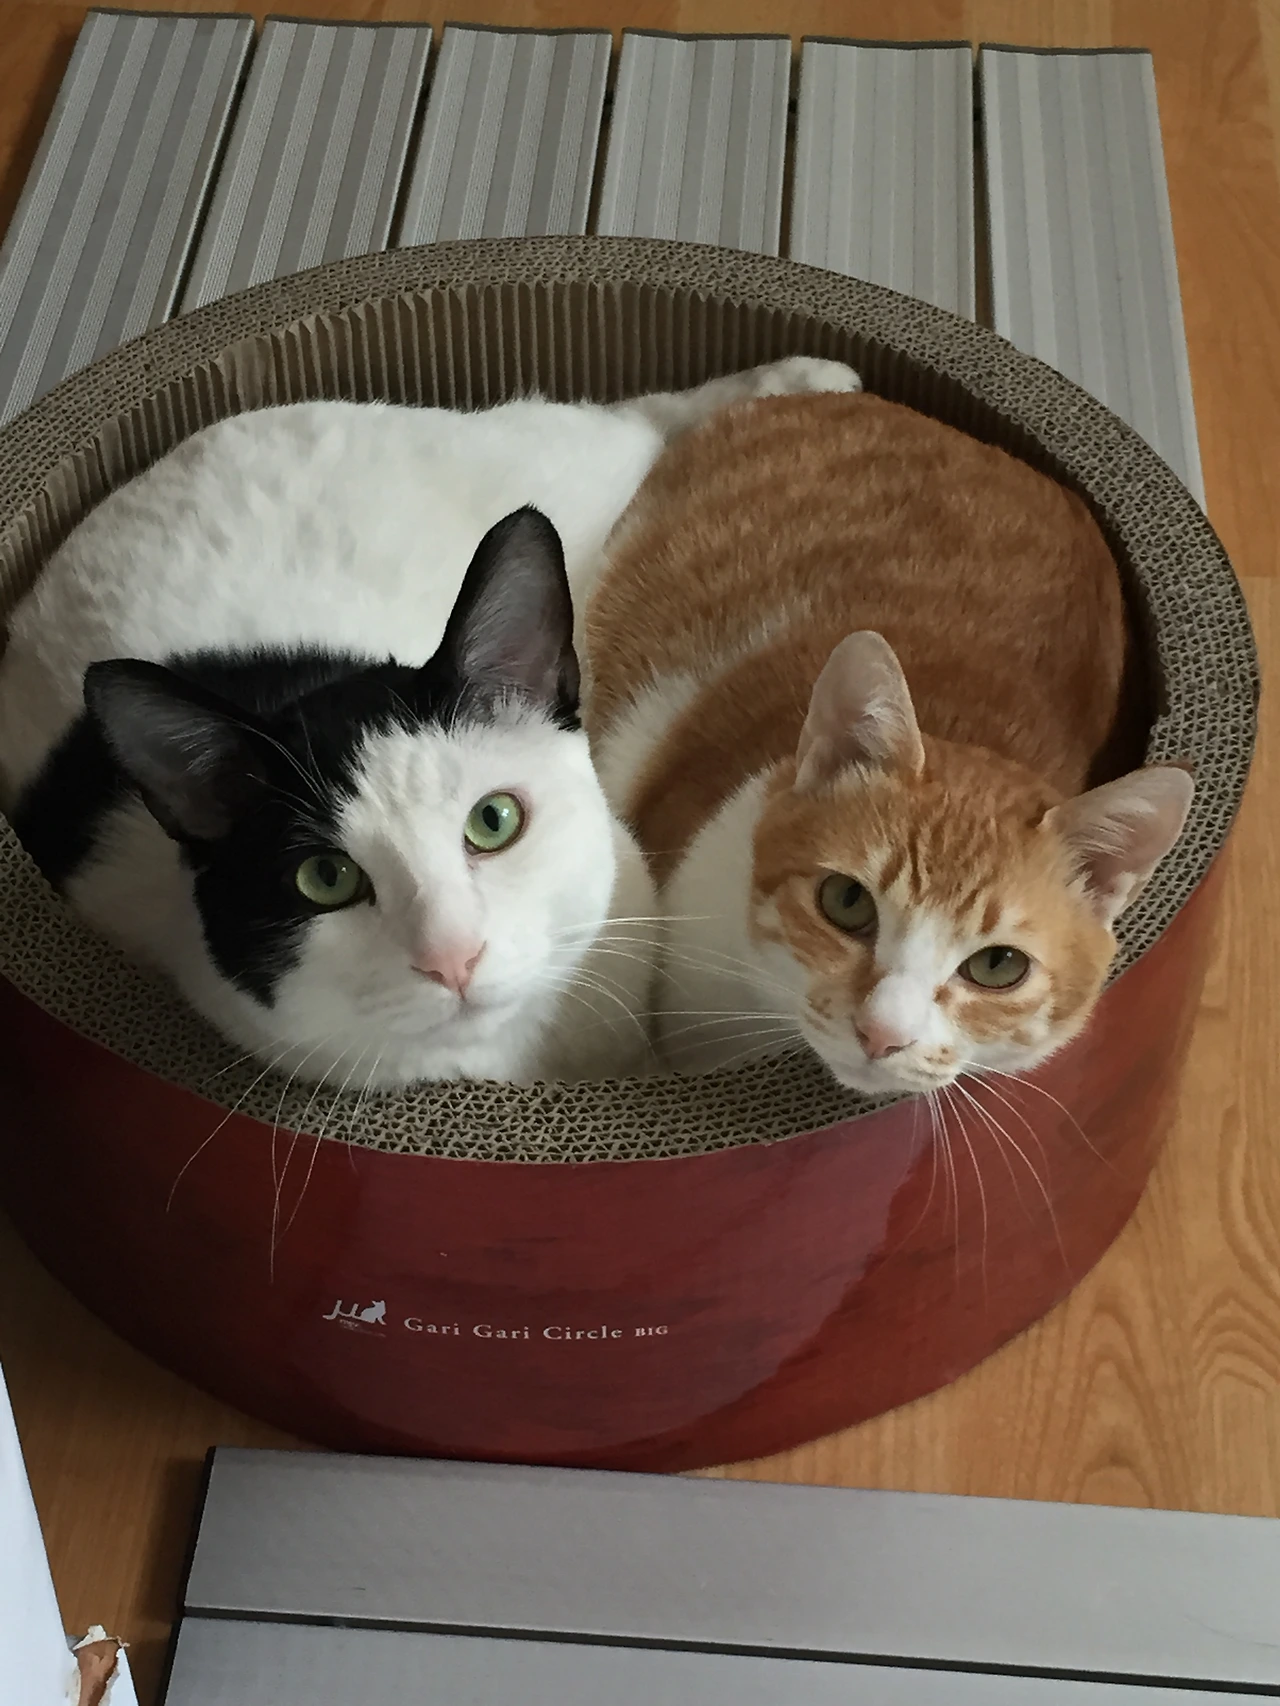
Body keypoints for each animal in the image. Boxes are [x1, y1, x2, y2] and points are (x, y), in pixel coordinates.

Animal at [0, 356, 861, 1090]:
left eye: (495, 820)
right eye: (325, 878)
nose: (453, 957)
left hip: (542, 464)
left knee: (628, 422)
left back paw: (806, 380)